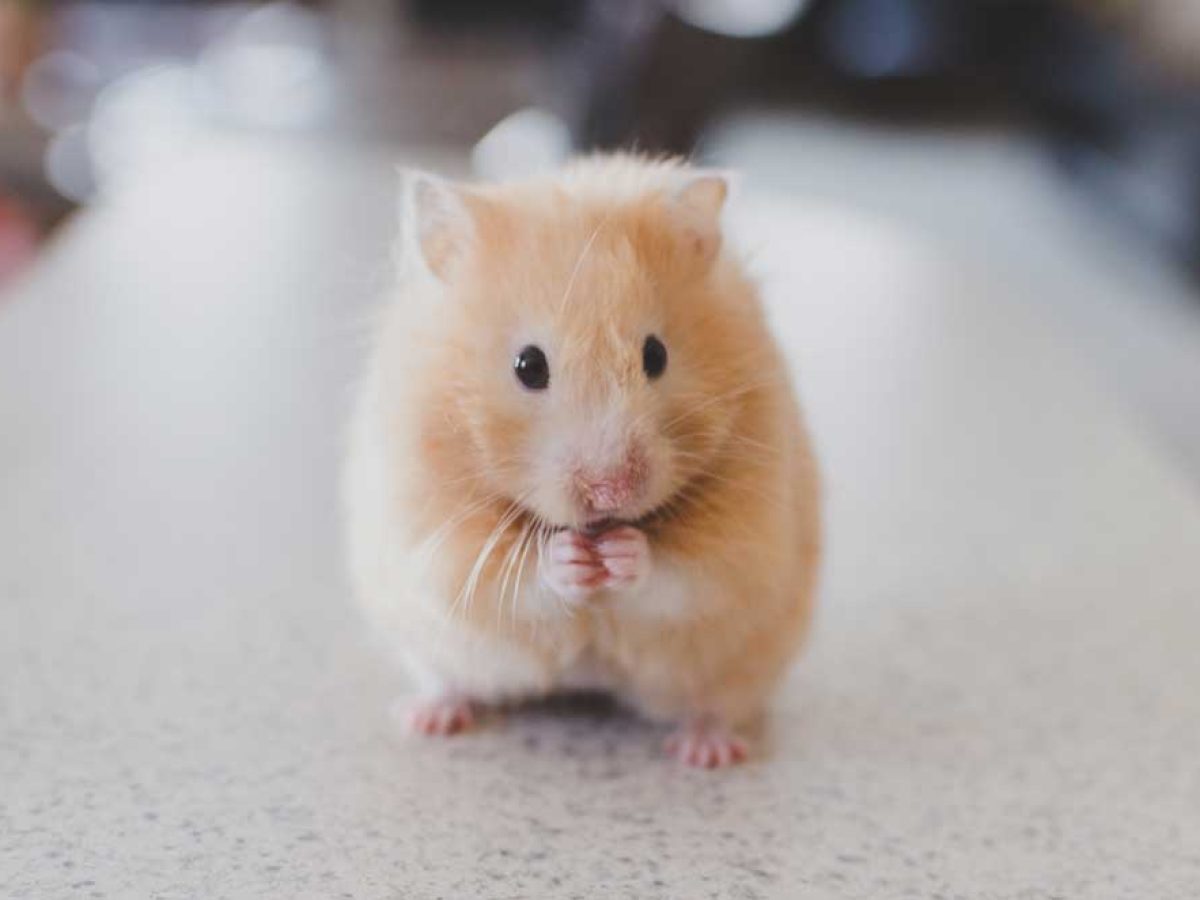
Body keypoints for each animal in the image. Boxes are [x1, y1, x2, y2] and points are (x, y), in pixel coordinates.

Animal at [343, 153, 820, 768]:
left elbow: (683, 575)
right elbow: (512, 579)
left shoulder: (746, 538)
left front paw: (621, 553)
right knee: (448, 680)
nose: (611, 492)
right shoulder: (434, 533)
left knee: (714, 705)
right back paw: (428, 718)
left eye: (656, 355)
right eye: (528, 366)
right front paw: (570, 558)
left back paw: (706, 752)